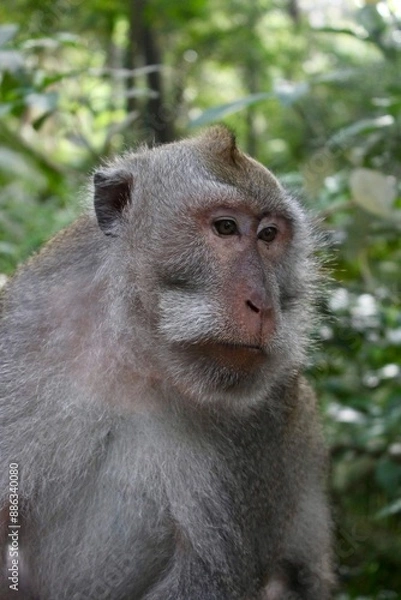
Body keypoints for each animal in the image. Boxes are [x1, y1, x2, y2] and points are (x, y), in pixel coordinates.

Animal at [0, 125, 332, 596]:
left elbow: (211, 574)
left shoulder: (265, 419)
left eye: (269, 234)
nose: (264, 305)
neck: (138, 357)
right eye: (225, 227)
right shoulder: (23, 331)